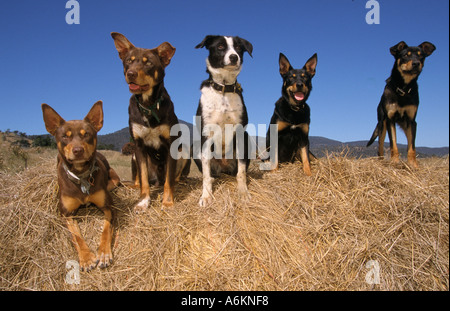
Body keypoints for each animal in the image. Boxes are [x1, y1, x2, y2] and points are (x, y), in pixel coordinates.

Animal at [41, 101, 119, 272]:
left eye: (86, 134)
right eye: (65, 136)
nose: (78, 150)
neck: (81, 176)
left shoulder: (108, 207)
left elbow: (106, 230)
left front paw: (104, 253)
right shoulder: (66, 214)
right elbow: (76, 236)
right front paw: (86, 258)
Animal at [113, 32, 191, 212]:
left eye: (148, 62)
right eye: (129, 61)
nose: (131, 73)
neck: (149, 105)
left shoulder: (171, 144)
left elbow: (169, 181)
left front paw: (167, 202)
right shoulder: (139, 145)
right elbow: (143, 181)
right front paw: (143, 202)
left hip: (184, 151)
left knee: (173, 178)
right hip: (133, 155)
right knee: (139, 181)